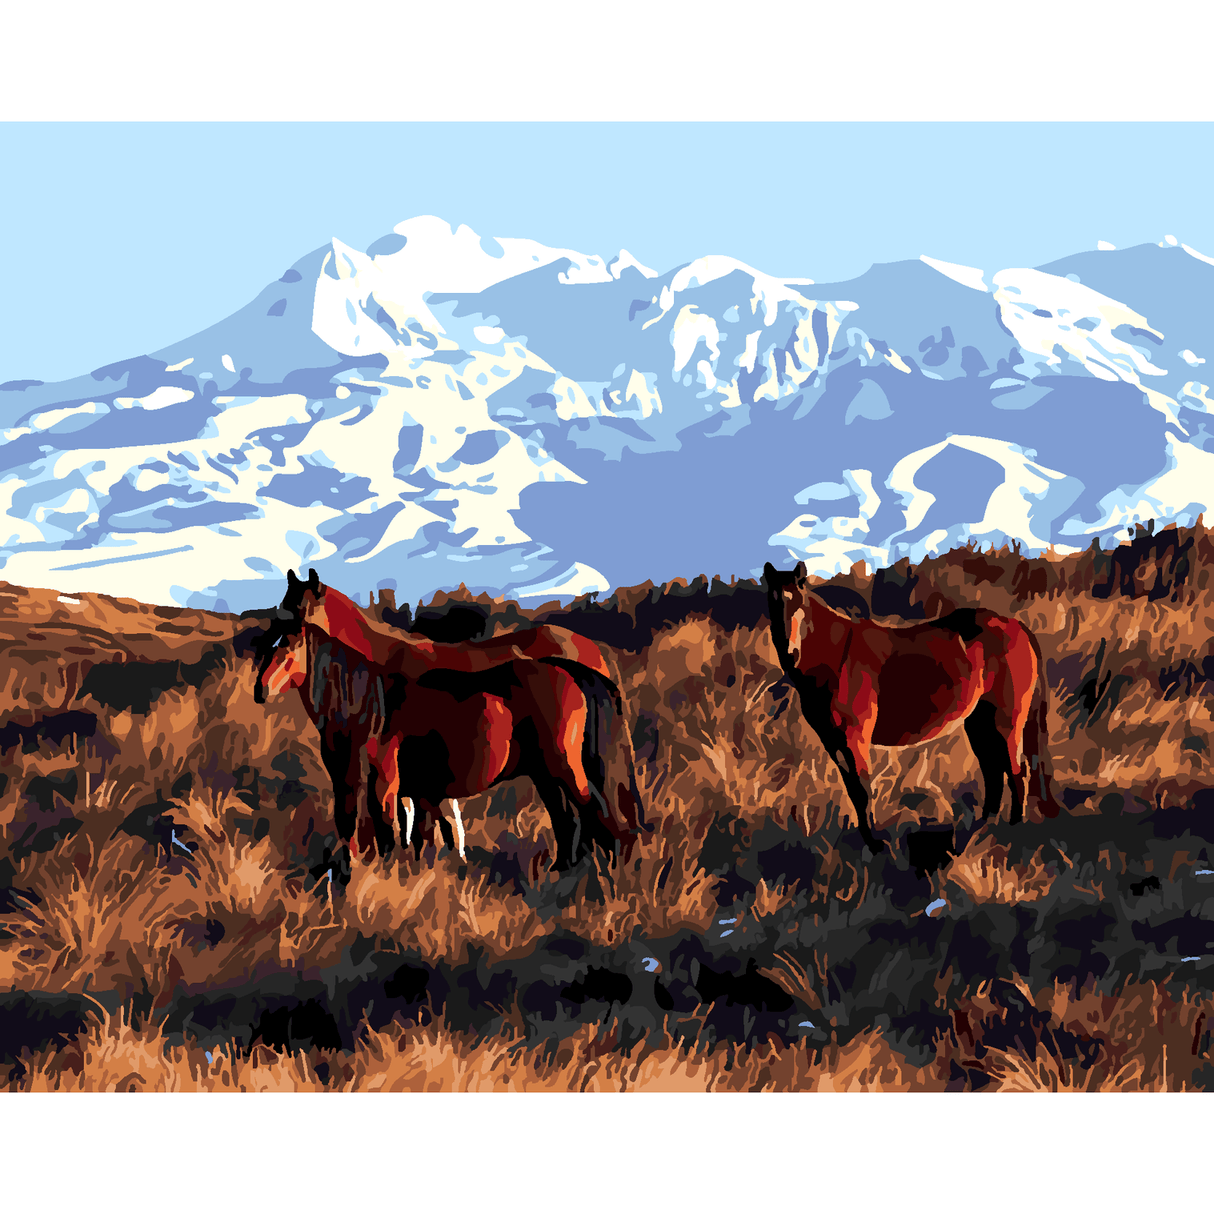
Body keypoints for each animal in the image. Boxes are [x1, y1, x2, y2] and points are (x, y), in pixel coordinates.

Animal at [254, 569, 644, 880]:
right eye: (277, 619)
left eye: (296, 624)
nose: (260, 689)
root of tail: (582, 659)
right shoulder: (375, 776)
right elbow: (392, 827)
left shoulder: (389, 776)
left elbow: (396, 828)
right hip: (545, 772)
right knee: (569, 822)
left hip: (561, 767)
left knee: (595, 815)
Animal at [762, 561, 1061, 855]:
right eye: (773, 604)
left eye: (799, 605)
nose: (790, 653)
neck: (835, 658)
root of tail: (1017, 625)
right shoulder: (833, 741)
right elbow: (853, 791)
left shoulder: (854, 738)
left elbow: (862, 789)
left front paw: (877, 847)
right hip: (979, 721)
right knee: (993, 772)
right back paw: (981, 833)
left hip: (1005, 722)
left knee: (1016, 771)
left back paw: (1010, 834)